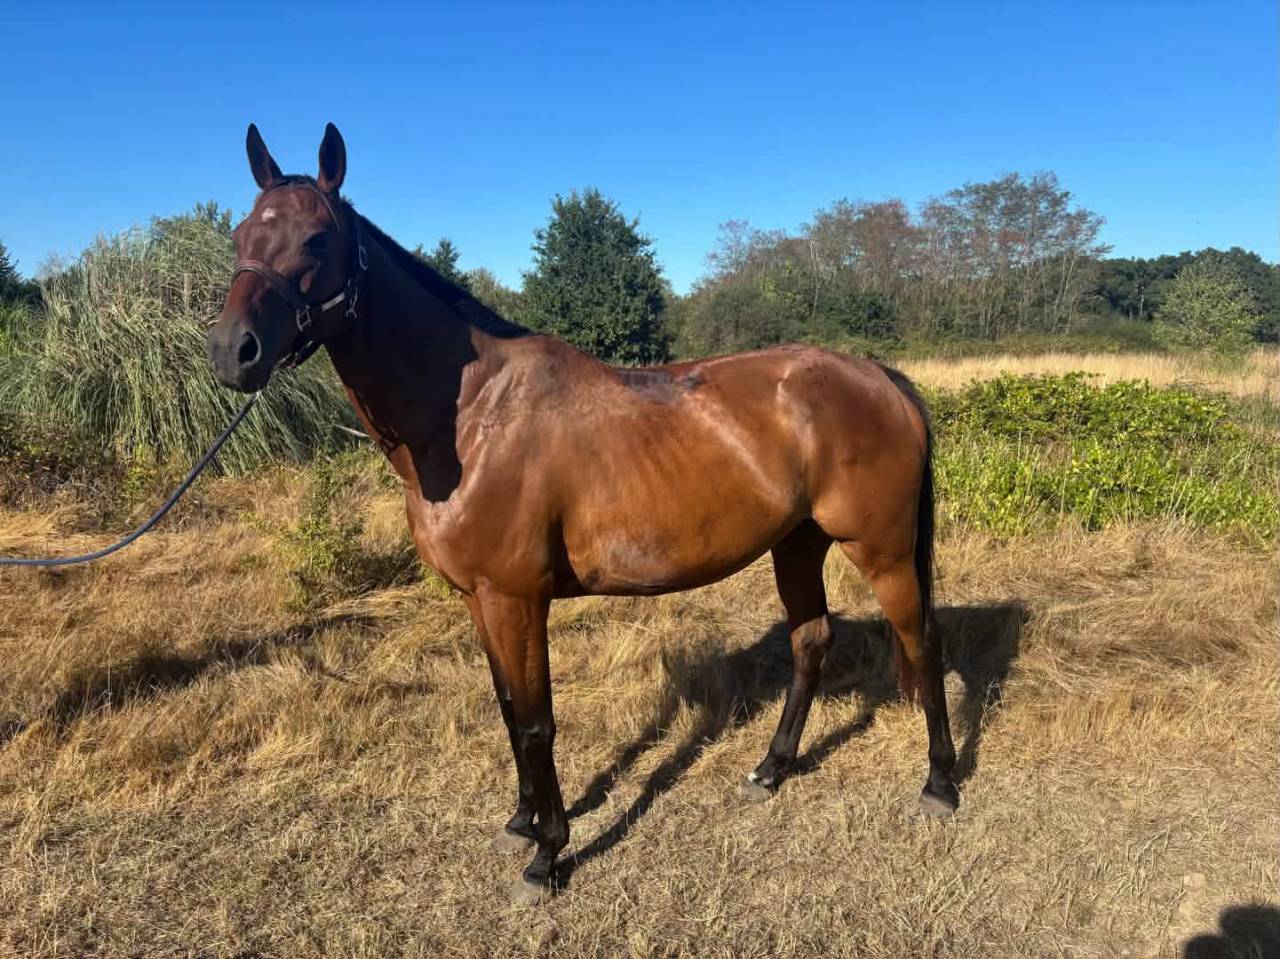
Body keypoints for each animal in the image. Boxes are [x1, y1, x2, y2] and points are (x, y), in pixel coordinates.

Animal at [207, 123, 959, 904]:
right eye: (240, 236)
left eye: (317, 238)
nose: (232, 353)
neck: (472, 418)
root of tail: (880, 378)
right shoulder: (480, 599)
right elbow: (509, 710)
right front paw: (520, 820)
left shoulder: (515, 599)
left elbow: (538, 722)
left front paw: (547, 854)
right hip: (798, 543)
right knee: (811, 641)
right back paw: (770, 770)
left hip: (880, 549)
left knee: (924, 641)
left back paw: (938, 785)